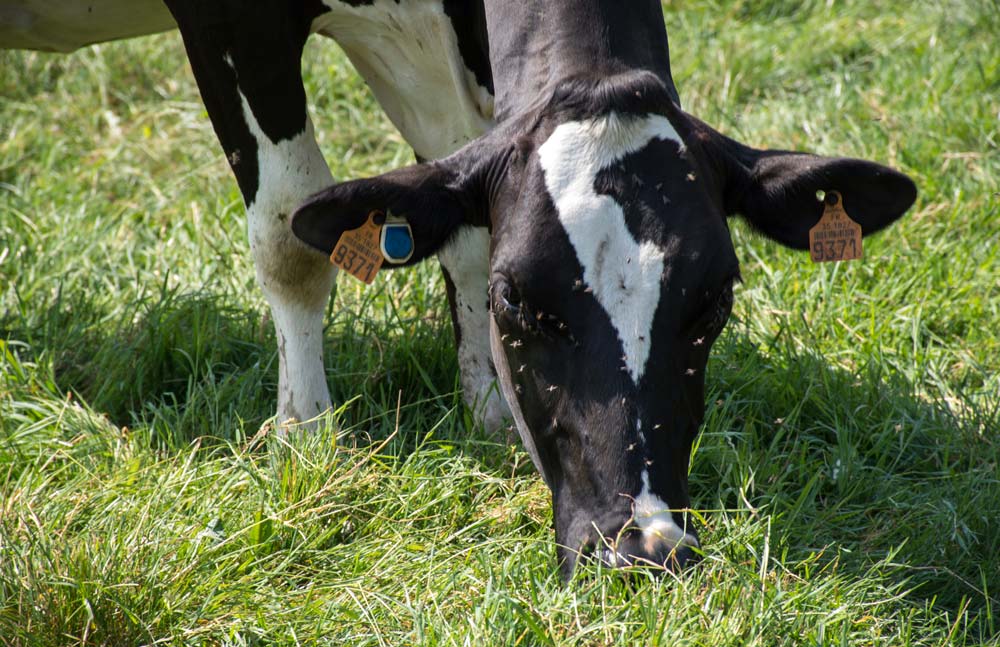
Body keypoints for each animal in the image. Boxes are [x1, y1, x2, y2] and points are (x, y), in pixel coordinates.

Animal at [2, 1, 916, 577]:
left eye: (715, 303)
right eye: (521, 300)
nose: (640, 548)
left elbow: (459, 211)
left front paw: (487, 409)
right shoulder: (234, 18)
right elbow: (293, 230)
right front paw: (308, 436)